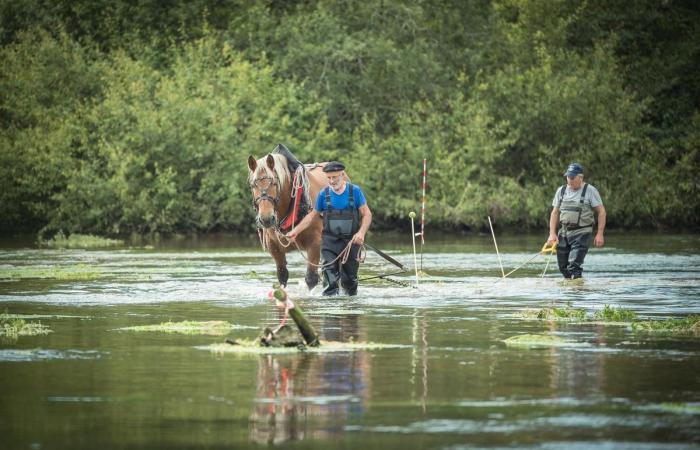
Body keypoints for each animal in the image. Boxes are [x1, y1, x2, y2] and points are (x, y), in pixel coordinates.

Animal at [247, 153, 326, 290]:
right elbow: (282, 275)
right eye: (253, 185)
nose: (266, 218)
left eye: (274, 183)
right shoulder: (274, 248)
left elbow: (311, 278)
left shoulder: (315, 243)